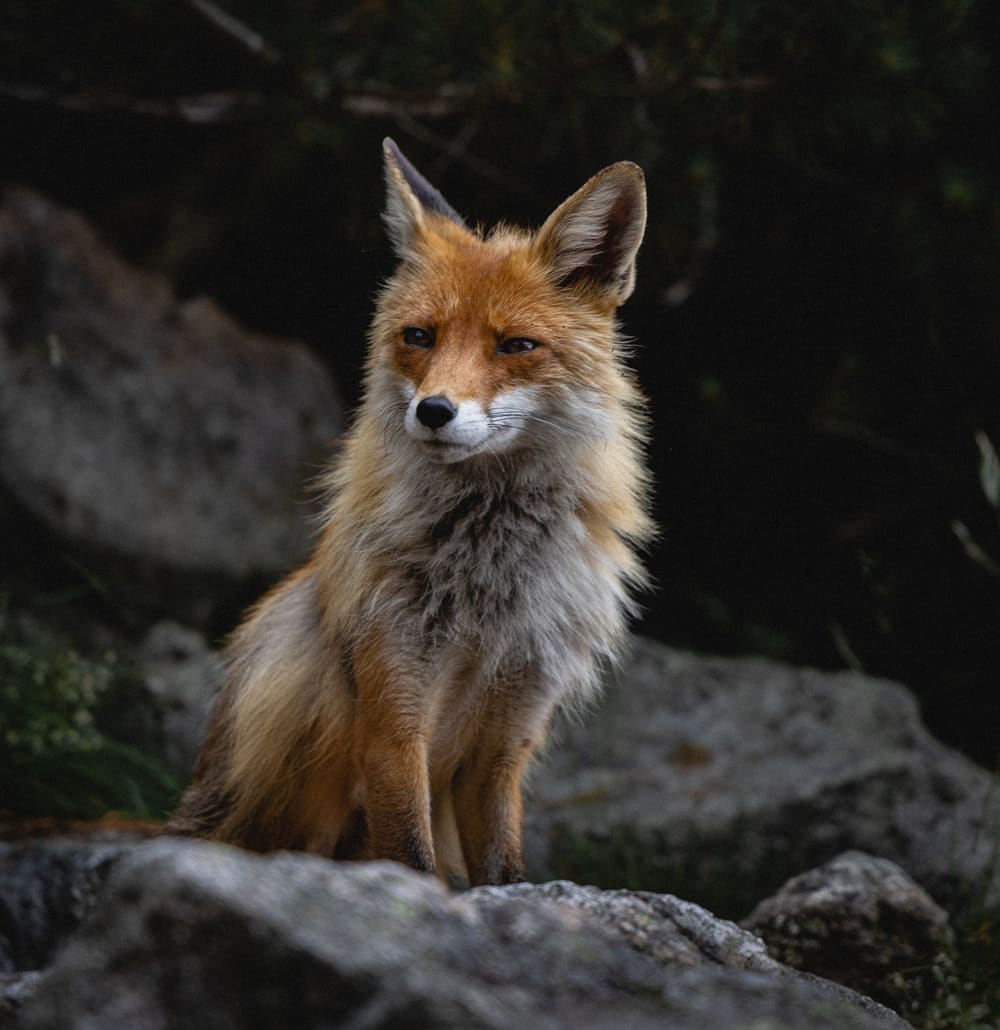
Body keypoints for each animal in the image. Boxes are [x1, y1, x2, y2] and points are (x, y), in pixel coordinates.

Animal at [166, 138, 653, 887]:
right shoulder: (393, 717)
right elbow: (413, 859)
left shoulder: (509, 737)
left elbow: (504, 871)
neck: (488, 591)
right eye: (420, 336)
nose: (434, 411)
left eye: (516, 345)